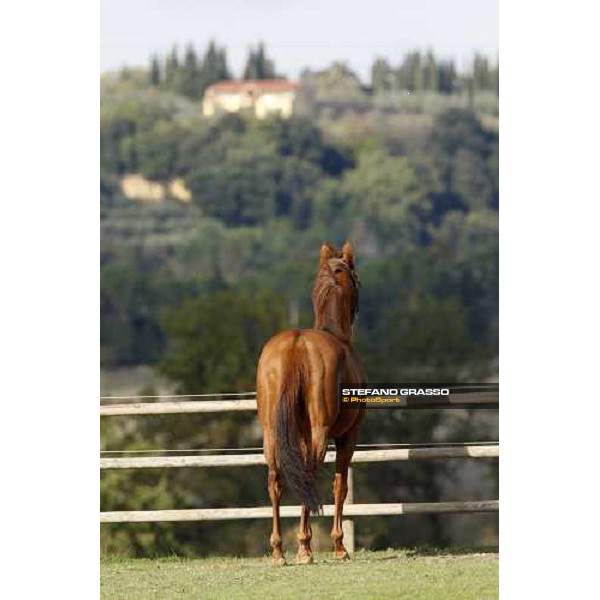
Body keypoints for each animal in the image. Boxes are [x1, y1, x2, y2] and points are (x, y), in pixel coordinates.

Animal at [254, 239, 364, 564]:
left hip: (271, 432)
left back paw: (279, 550)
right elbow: (340, 485)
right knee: (309, 474)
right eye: (356, 277)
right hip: (320, 432)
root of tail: (296, 344)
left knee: (276, 478)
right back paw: (304, 548)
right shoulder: (348, 436)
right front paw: (339, 546)